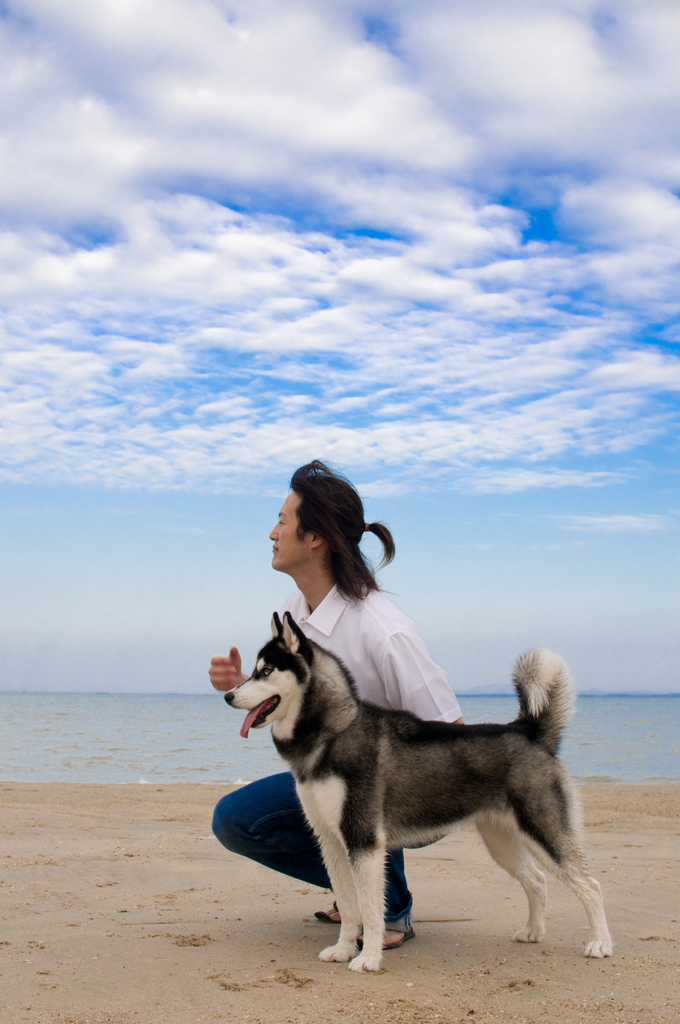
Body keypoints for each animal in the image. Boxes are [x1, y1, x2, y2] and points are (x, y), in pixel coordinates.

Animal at [224, 610, 610, 970]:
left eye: (266, 671)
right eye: (252, 671)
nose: (227, 695)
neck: (334, 731)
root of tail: (528, 731)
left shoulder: (363, 840)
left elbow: (370, 908)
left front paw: (369, 958)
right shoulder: (330, 841)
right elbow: (349, 906)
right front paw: (344, 949)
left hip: (544, 831)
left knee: (590, 885)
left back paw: (600, 944)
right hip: (502, 842)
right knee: (537, 880)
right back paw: (533, 931)